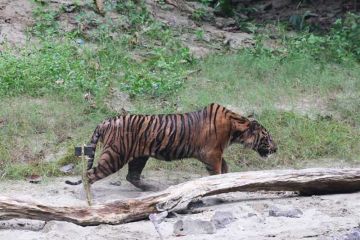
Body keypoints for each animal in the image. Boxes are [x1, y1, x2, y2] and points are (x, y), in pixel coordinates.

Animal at [65, 103, 278, 189]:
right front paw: (217, 183)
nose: (276, 149)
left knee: (131, 176)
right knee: (89, 175)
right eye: (268, 137)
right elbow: (217, 170)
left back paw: (150, 189)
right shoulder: (212, 154)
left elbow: (225, 167)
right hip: (115, 155)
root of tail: (106, 121)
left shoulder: (216, 153)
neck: (236, 128)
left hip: (139, 157)